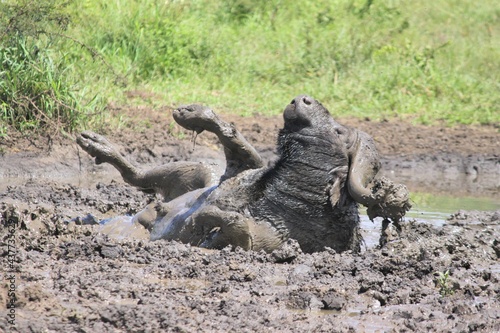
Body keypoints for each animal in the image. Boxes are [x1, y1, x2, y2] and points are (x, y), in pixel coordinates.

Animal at [76, 94, 408, 253]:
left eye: (339, 131)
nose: (303, 98)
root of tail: (125, 221)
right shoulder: (239, 169)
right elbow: (234, 138)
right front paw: (193, 113)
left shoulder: (263, 241)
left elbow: (232, 223)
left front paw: (204, 223)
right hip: (198, 168)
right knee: (137, 174)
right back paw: (95, 143)